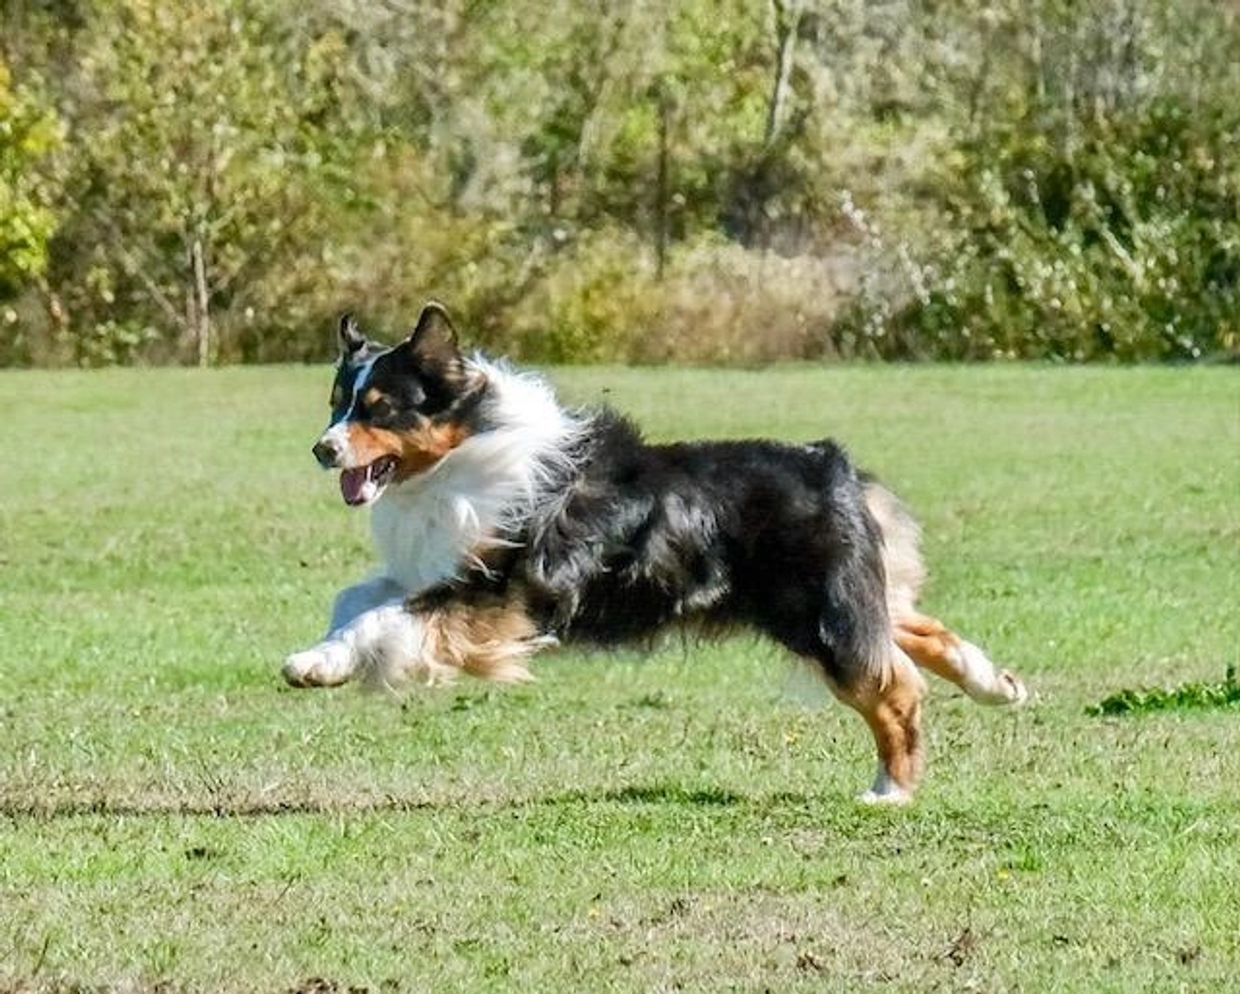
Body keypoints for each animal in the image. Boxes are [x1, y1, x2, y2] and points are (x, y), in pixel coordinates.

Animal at [283, 306, 1026, 803]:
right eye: (337, 403)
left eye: (381, 408)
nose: (321, 450)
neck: (464, 453)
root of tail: (831, 465)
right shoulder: (438, 571)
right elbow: (358, 600)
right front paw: (324, 660)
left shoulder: (496, 591)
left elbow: (385, 618)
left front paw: (311, 665)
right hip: (851, 598)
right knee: (917, 630)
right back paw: (998, 685)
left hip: (820, 616)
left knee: (896, 686)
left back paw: (889, 790)